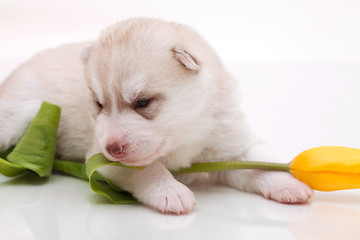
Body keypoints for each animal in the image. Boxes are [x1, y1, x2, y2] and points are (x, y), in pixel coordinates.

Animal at [0, 18, 312, 214]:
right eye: (99, 104)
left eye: (143, 102)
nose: (112, 147)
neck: (186, 134)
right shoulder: (100, 159)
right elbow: (148, 169)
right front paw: (170, 191)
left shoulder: (230, 143)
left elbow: (259, 163)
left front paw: (288, 184)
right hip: (22, 114)